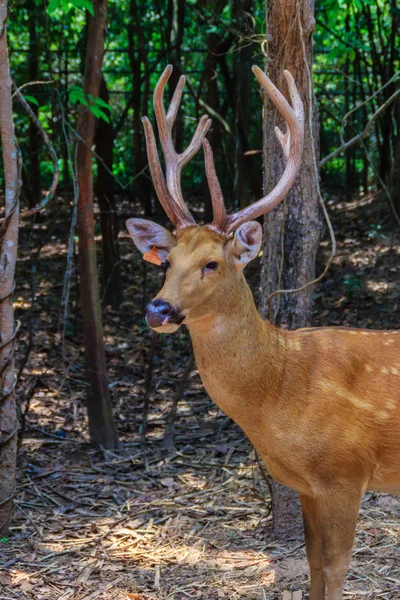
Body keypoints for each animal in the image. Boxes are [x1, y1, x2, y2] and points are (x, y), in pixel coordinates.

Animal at [126, 65, 400, 600]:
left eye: (212, 263)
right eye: (166, 261)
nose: (158, 308)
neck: (283, 388)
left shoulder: (345, 472)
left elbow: (335, 570)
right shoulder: (307, 486)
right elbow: (313, 567)